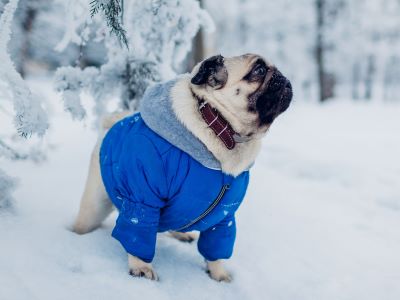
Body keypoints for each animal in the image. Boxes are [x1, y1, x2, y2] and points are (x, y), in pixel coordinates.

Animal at [73, 54, 292, 284]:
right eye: (258, 70)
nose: (281, 76)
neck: (221, 129)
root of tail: (111, 124)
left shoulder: (223, 216)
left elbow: (216, 250)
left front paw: (219, 275)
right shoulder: (142, 200)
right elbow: (138, 230)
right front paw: (141, 268)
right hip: (94, 207)